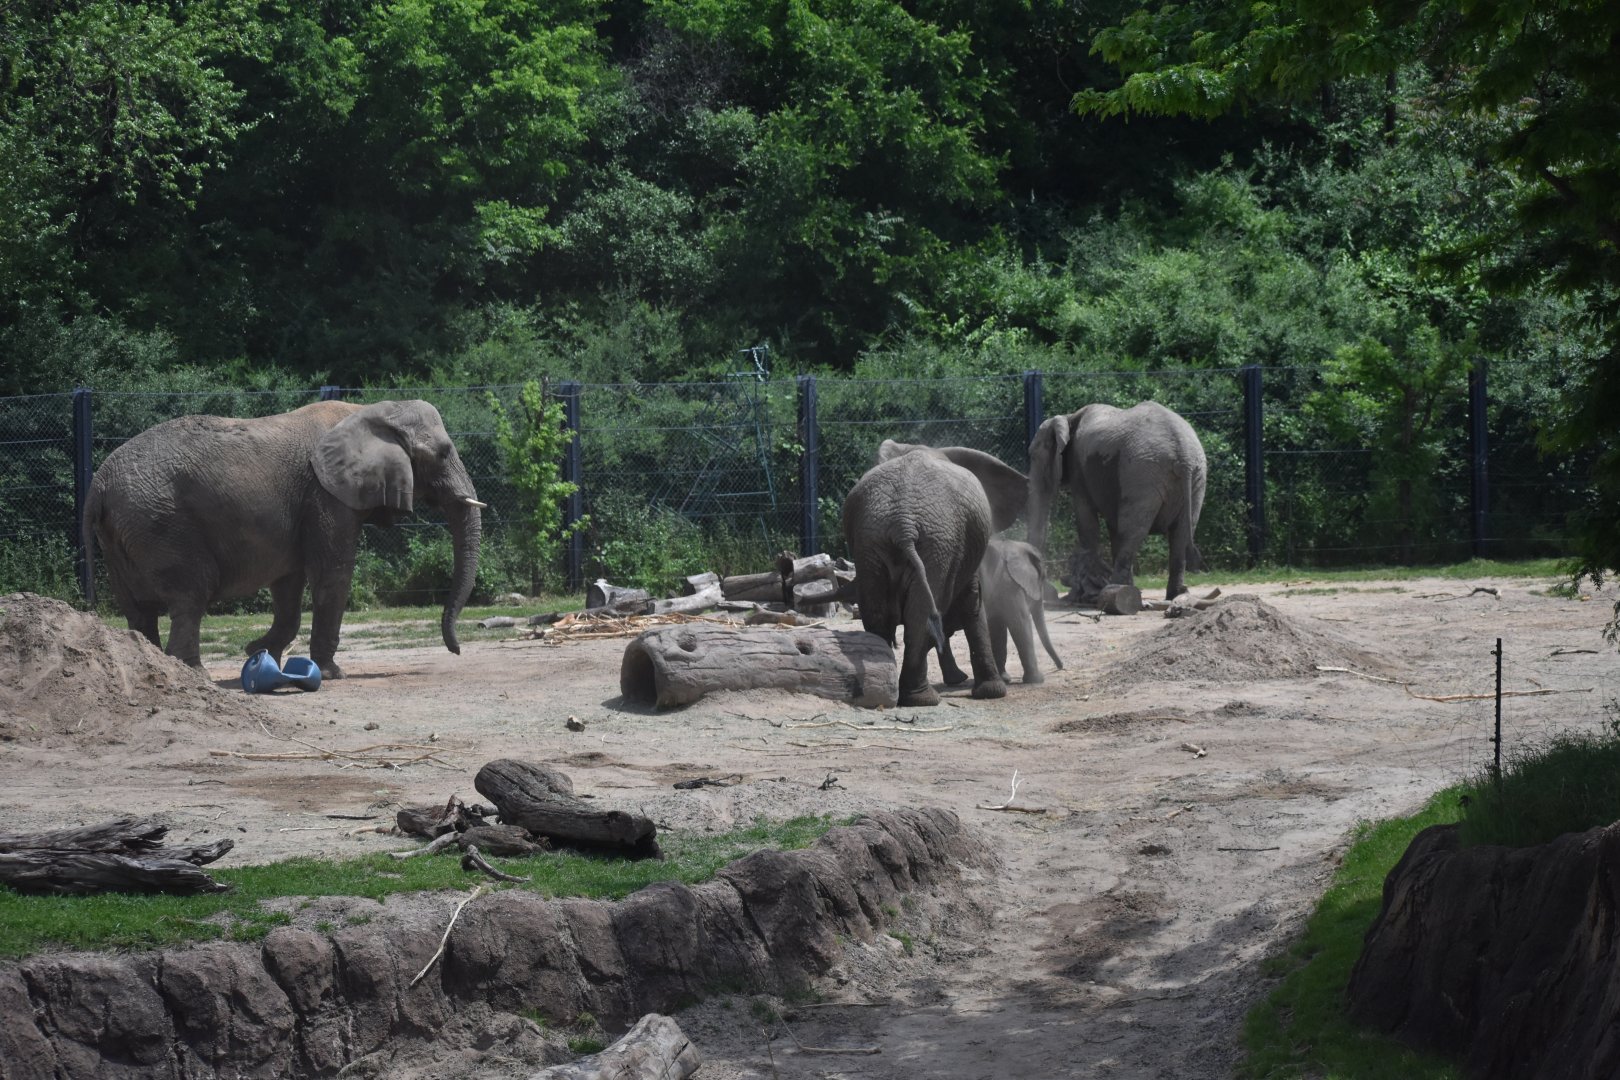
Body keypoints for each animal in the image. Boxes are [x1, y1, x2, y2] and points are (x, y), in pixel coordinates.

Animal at [83, 399, 483, 679]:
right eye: (442, 453)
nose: (457, 651)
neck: (372, 411)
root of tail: (98, 485)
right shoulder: (326, 495)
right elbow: (332, 572)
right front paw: (331, 673)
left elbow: (289, 582)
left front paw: (258, 654)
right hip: (161, 524)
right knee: (190, 596)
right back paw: (195, 674)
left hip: (122, 534)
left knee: (139, 611)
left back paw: (154, 668)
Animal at [841, 449, 1008, 707]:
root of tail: (903, 522)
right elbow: (973, 604)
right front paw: (993, 693)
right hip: (938, 543)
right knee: (920, 618)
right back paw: (923, 699)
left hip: (873, 543)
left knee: (878, 614)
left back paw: (886, 692)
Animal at [937, 538, 1063, 686]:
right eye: (1043, 578)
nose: (1060, 666)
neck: (1013, 545)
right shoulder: (1009, 585)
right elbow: (1020, 621)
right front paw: (1037, 680)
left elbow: (998, 627)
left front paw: (1004, 680)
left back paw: (957, 680)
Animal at [1027, 401, 1207, 602]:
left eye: (1032, 456)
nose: (1050, 591)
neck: (1068, 417)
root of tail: (1183, 455)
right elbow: (1112, 526)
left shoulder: (1079, 468)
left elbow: (1086, 519)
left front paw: (1085, 594)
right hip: (1196, 477)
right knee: (1180, 534)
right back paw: (1174, 595)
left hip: (1141, 473)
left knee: (1133, 531)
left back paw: (1111, 592)